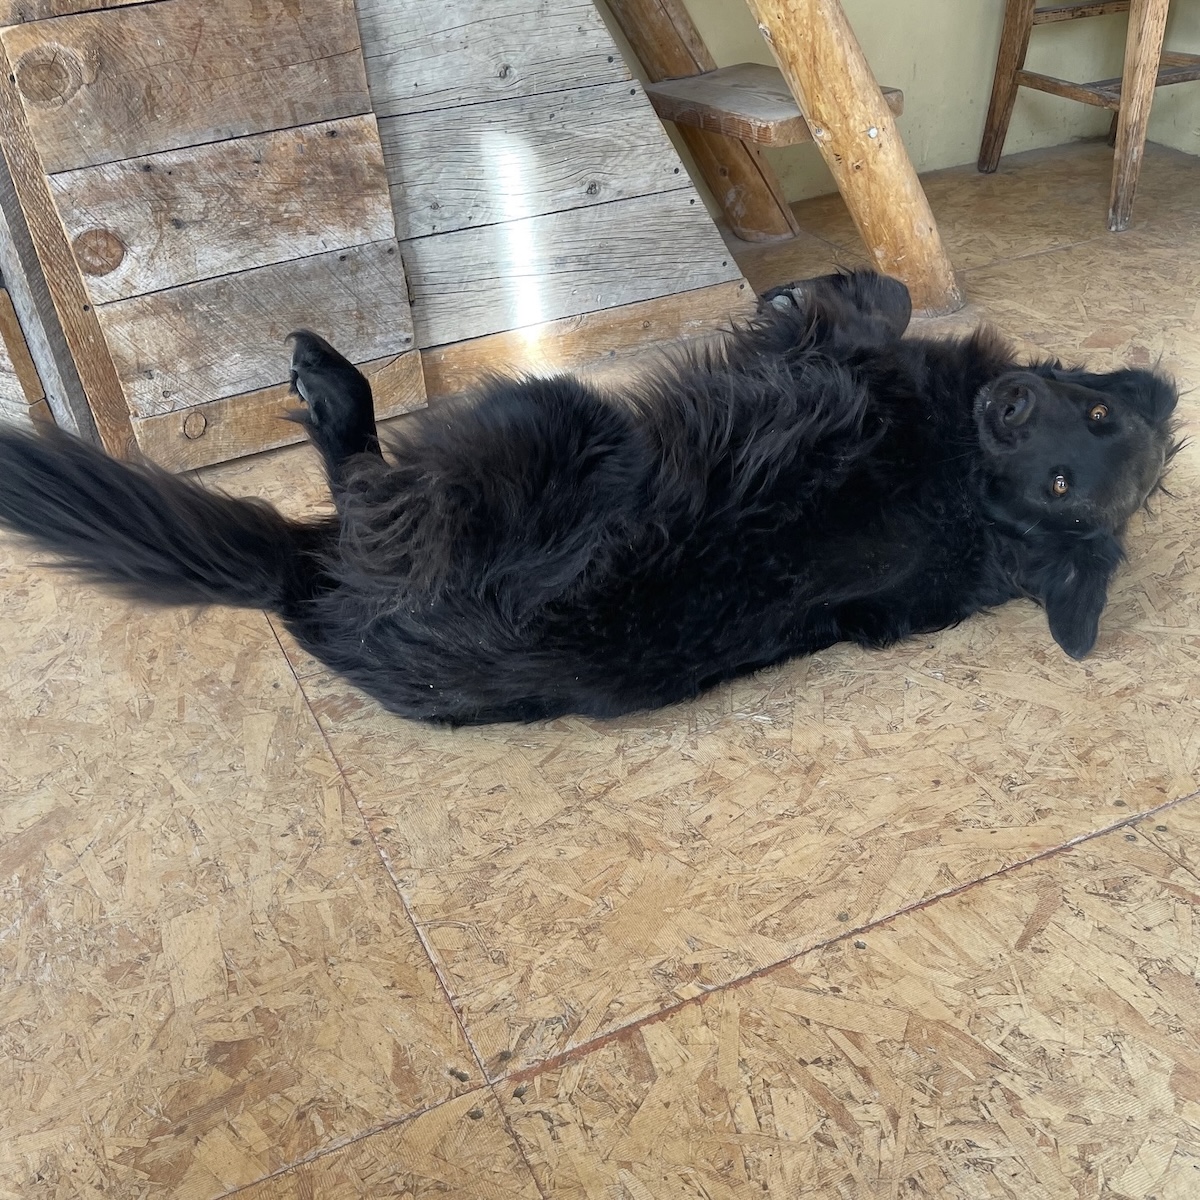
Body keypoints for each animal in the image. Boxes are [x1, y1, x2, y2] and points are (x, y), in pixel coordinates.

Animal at [0, 271, 1179, 724]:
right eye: (1094, 419)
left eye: (1067, 480)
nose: (1013, 406)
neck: (968, 487)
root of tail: (301, 593)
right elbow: (885, 297)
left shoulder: (847, 371)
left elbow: (862, 314)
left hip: (548, 409)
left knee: (359, 469)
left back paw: (331, 388)